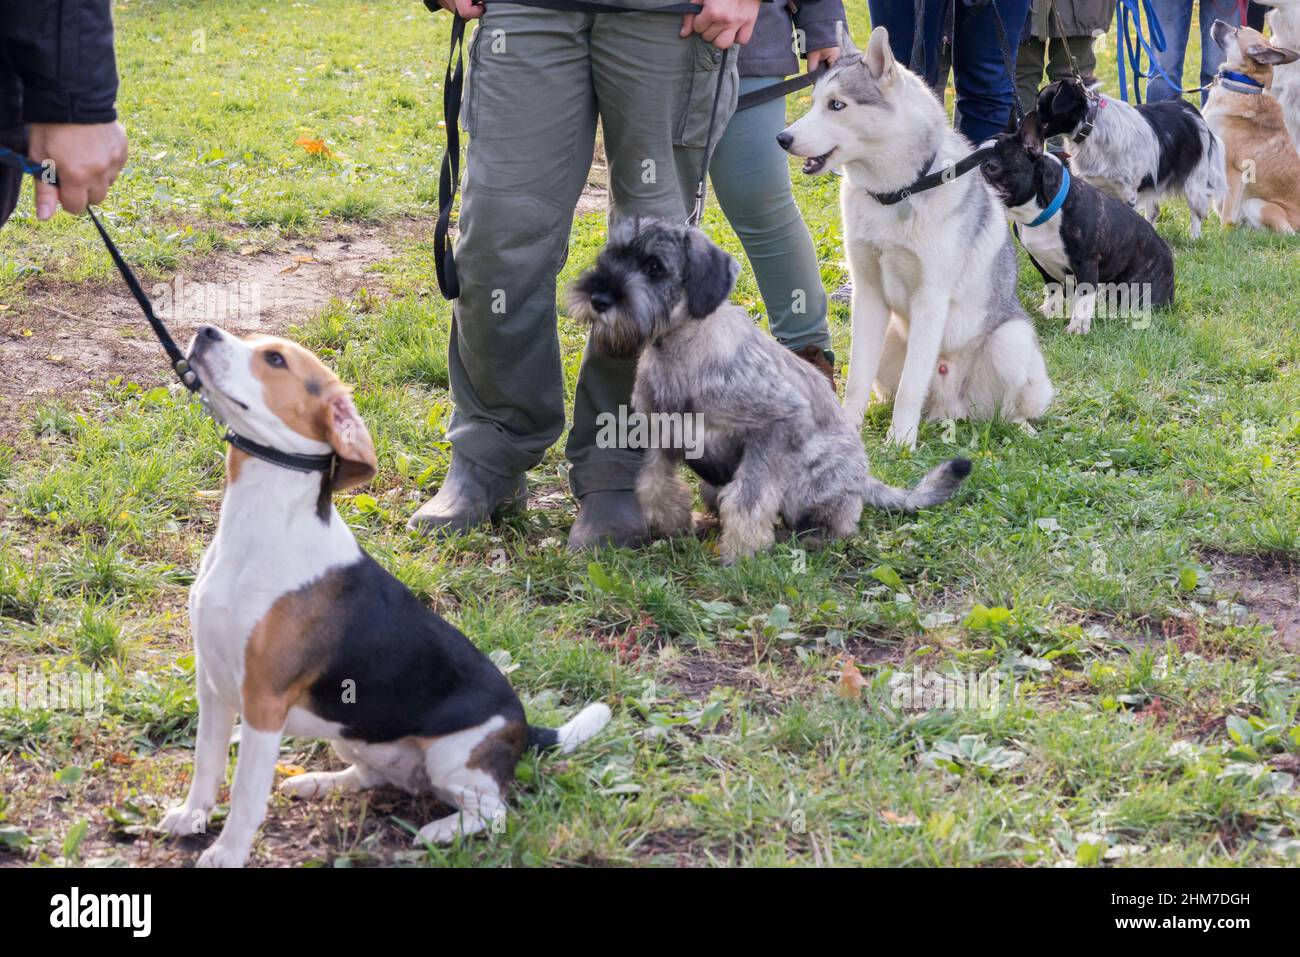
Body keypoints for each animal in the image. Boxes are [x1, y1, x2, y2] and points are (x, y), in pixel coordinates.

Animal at [569, 221, 977, 564]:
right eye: (612, 256)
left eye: (655, 266)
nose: (598, 297)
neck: (682, 349)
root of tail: (864, 480)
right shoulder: (661, 433)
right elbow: (653, 484)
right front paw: (674, 521)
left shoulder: (773, 427)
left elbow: (748, 498)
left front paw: (741, 552)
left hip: (810, 483)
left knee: (840, 521)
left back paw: (816, 538)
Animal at [982, 111, 1180, 335]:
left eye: (991, 167)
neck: (1041, 211)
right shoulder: (1039, 259)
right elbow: (1053, 287)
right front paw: (1050, 311)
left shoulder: (1086, 263)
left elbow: (1084, 299)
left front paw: (1077, 327)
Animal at [1034, 76, 1227, 237]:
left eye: (1039, 104)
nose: (1027, 118)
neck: (1092, 126)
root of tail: (1190, 110)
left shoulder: (1128, 193)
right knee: (1154, 212)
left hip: (1194, 182)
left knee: (1196, 212)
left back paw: (1194, 237)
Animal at [1201, 20, 1300, 234]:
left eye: (1237, 31)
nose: (1216, 21)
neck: (1242, 84)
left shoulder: (1233, 171)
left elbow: (1226, 213)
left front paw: (1221, 235)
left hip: (1257, 204)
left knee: (1285, 231)